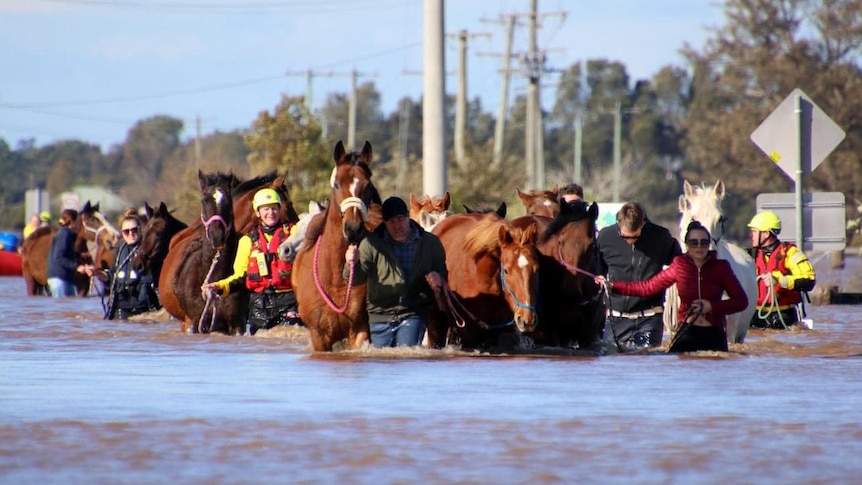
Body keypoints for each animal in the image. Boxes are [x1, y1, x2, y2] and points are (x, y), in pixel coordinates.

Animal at [294, 140, 382, 352]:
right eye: (336, 184)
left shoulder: (359, 331)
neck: (334, 277)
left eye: (367, 185)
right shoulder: (318, 336)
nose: (353, 228)